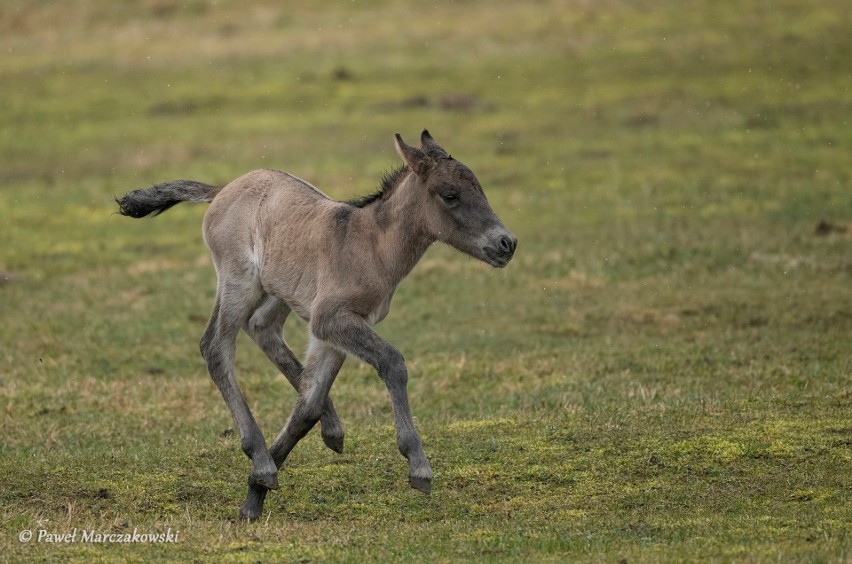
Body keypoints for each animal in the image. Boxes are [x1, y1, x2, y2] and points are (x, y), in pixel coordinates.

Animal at [118, 130, 520, 516]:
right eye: (450, 195)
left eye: (479, 188)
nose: (507, 243)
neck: (370, 245)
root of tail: (222, 190)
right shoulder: (332, 319)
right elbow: (392, 362)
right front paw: (418, 466)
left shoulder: (332, 330)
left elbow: (307, 406)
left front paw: (253, 499)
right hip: (239, 282)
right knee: (216, 348)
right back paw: (261, 457)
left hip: (277, 291)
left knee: (262, 329)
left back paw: (327, 432)